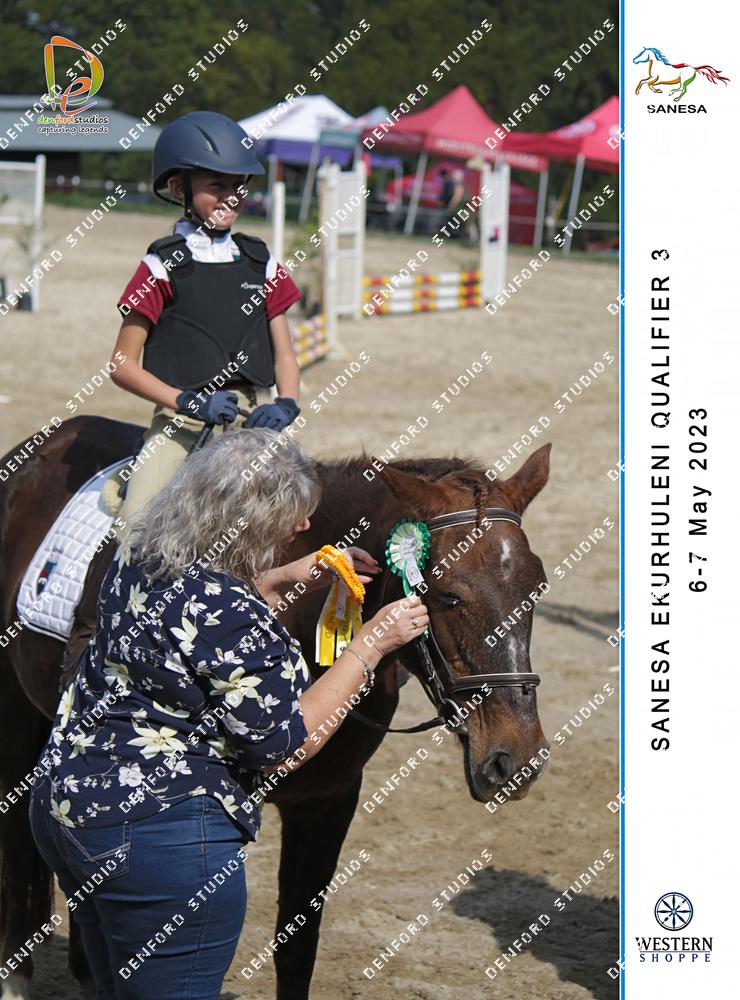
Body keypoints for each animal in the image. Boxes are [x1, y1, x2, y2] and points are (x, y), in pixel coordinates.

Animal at [0, 416, 552, 1000]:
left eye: (537, 586)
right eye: (447, 595)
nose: (516, 761)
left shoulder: (328, 799)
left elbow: (297, 949)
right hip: (14, 717)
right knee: (18, 848)